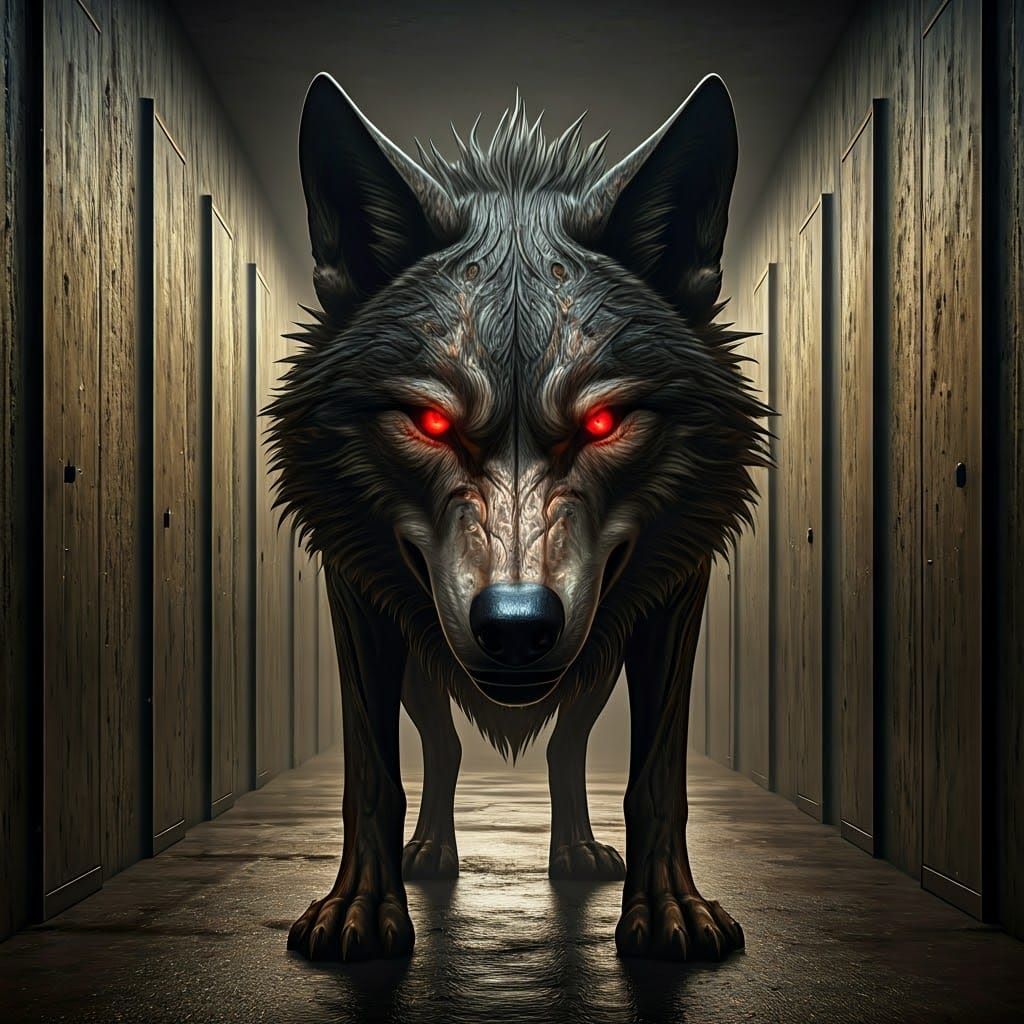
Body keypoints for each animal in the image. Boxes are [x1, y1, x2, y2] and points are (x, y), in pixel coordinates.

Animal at [269, 72, 768, 963]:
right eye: (430, 423)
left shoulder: (676, 594)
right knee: (442, 745)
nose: (514, 626)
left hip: (595, 658)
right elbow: (372, 775)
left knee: (567, 748)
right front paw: (358, 910)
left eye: (603, 423)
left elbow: (656, 778)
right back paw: (430, 852)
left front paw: (670, 911)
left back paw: (575, 852)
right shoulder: (356, 593)